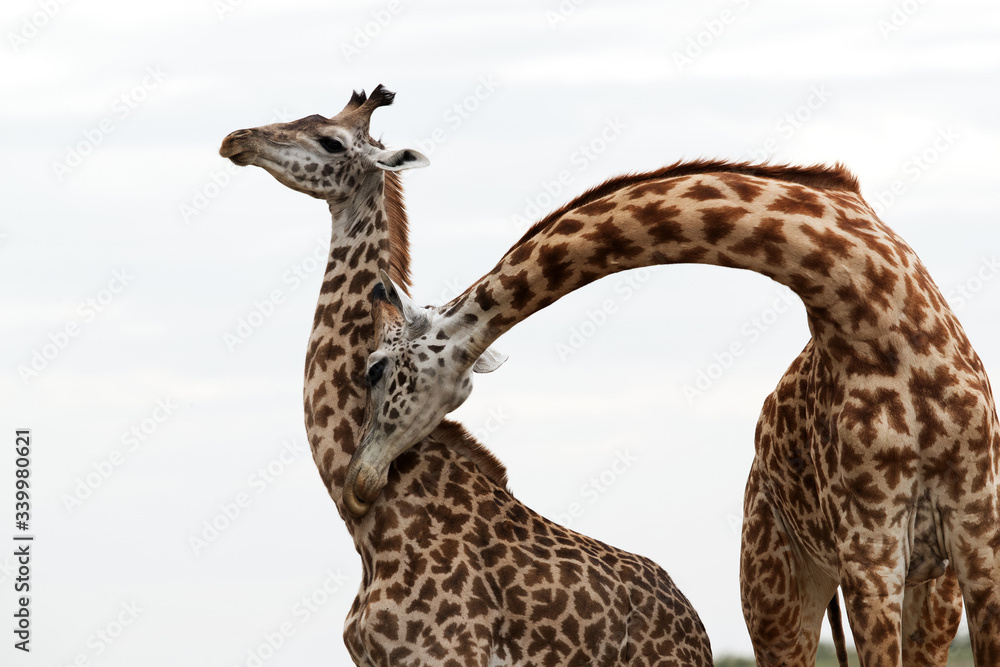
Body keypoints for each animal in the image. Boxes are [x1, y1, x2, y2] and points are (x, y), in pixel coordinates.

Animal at [344, 159, 1000, 666]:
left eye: (374, 367)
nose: (359, 478)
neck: (872, 310)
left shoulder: (975, 528)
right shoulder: (870, 545)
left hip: (925, 591)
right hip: (777, 588)